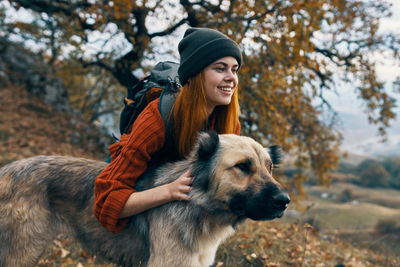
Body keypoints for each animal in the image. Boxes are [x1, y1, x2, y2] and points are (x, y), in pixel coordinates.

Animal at [0, 133, 288, 266]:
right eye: (243, 166)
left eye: (270, 167)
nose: (284, 200)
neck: (196, 206)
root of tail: (7, 170)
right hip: (23, 252)